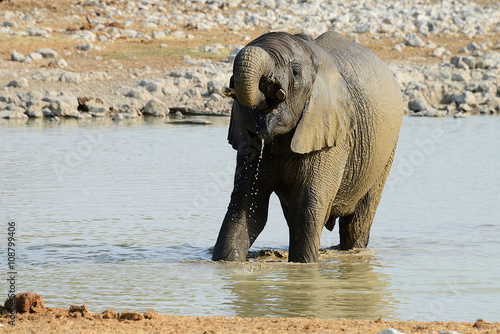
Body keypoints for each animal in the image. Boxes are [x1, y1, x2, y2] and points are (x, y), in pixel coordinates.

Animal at [213, 30, 404, 262]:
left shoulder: (333, 137)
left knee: (359, 218)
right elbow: (247, 204)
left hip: (385, 152)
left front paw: (303, 266)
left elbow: (308, 209)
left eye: (295, 72)